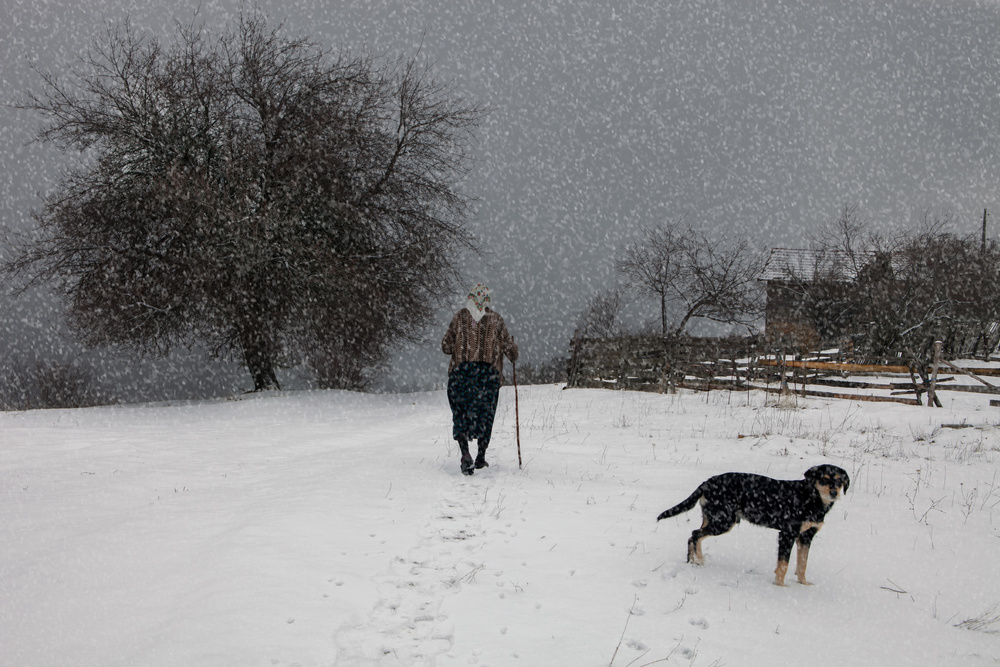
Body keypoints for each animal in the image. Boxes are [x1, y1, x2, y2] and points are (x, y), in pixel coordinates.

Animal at [660, 468, 848, 588]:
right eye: (824, 478)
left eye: (839, 480)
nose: (834, 492)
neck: (810, 498)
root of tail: (706, 483)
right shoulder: (787, 534)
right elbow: (783, 565)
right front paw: (780, 587)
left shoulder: (806, 537)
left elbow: (803, 564)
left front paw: (804, 584)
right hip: (723, 522)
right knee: (695, 534)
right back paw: (698, 560)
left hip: (715, 519)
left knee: (692, 536)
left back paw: (694, 561)